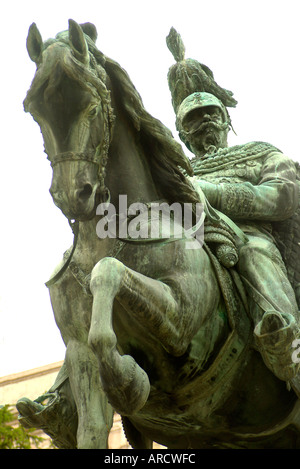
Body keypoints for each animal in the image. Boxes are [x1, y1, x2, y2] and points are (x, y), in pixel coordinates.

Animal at [17, 20, 300, 448]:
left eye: (92, 104)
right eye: (34, 109)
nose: (73, 194)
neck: (111, 233)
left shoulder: (183, 321)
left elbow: (108, 272)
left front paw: (127, 382)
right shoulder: (81, 356)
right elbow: (91, 423)